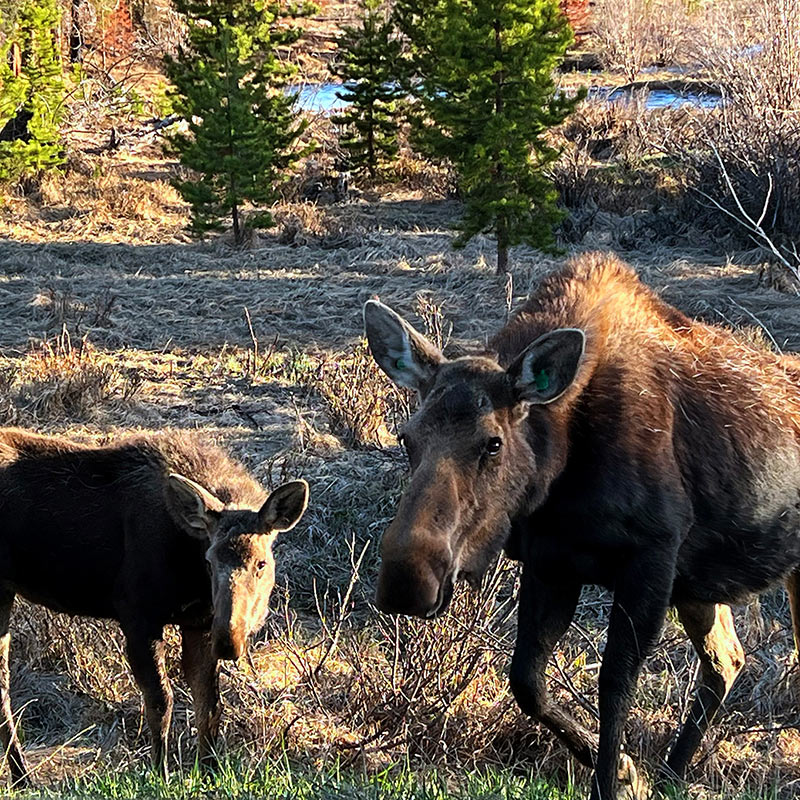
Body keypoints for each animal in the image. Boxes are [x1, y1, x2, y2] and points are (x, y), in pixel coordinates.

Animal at [0, 428, 310, 784]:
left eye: (261, 563)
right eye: (209, 561)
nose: (228, 640)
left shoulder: (198, 623)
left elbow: (210, 705)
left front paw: (209, 771)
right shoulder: (137, 614)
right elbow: (161, 701)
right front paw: (159, 772)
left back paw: (21, 775)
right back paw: (21, 775)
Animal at [366, 253, 800, 800]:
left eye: (492, 443)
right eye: (407, 437)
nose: (406, 579)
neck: (561, 464)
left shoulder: (651, 556)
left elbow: (614, 685)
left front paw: (612, 778)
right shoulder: (553, 563)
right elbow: (526, 681)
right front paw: (626, 769)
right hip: (701, 588)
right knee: (728, 659)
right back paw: (671, 774)